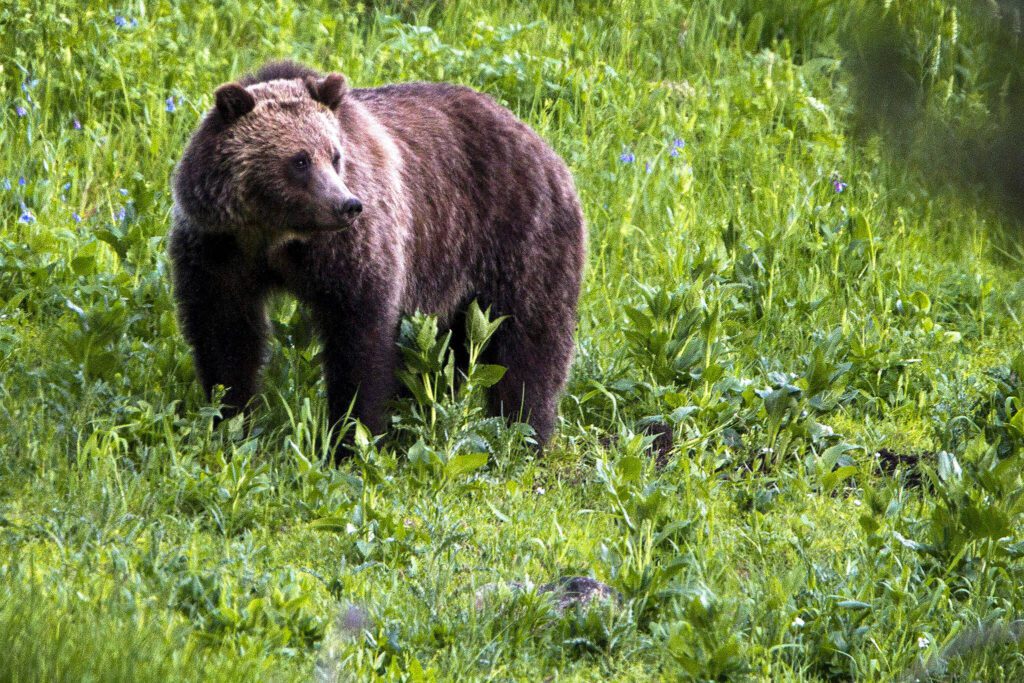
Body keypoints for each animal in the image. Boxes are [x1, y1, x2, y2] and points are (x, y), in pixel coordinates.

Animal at [167, 61, 585, 450]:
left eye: (335, 155)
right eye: (300, 160)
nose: (347, 205)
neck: (276, 236)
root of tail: (540, 141)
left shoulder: (351, 251)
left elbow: (360, 340)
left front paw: (351, 436)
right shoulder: (219, 250)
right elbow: (225, 335)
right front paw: (230, 421)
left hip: (517, 237)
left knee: (529, 343)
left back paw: (525, 434)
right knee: (448, 354)